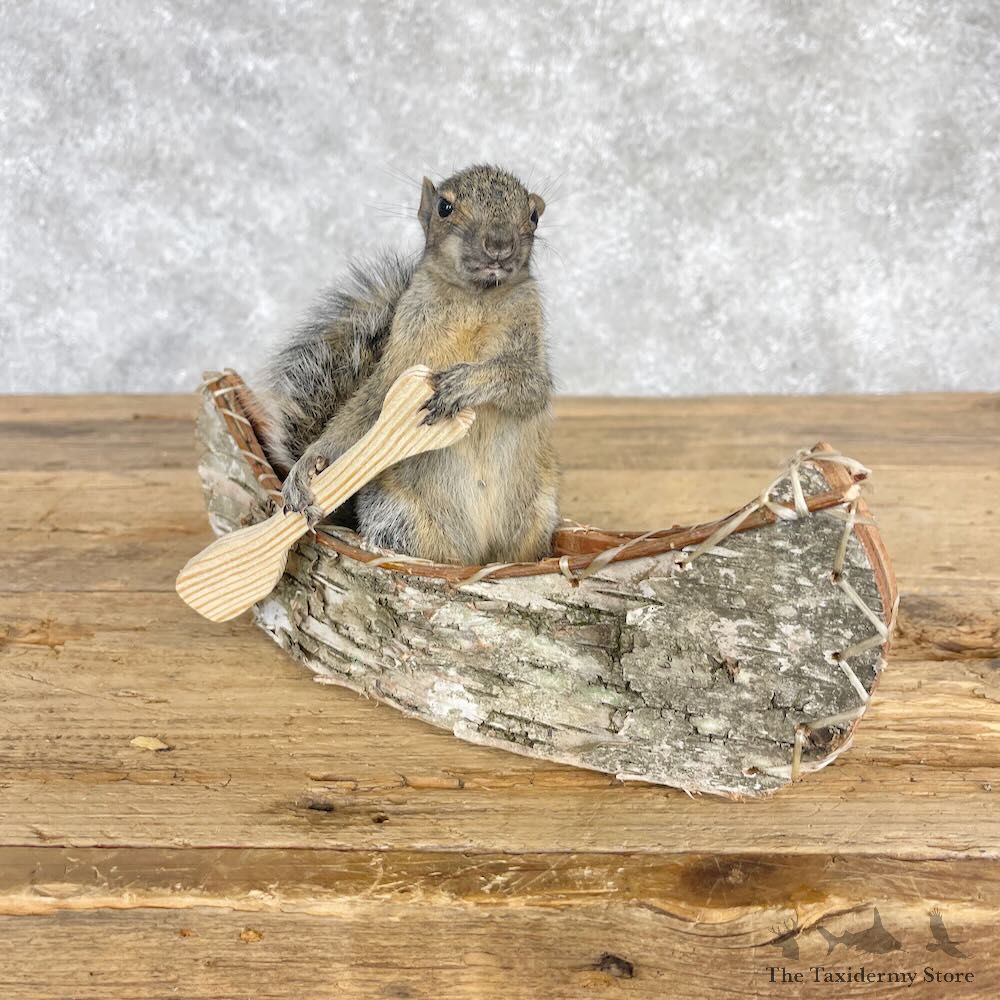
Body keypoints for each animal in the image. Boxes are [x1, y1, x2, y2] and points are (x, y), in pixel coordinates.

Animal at [255, 164, 559, 566]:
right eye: (445, 207)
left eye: (534, 216)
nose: (498, 244)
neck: (475, 298)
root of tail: (476, 557)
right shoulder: (399, 357)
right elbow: (369, 408)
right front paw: (308, 465)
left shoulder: (532, 340)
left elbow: (528, 385)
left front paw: (463, 384)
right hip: (400, 518)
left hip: (537, 516)